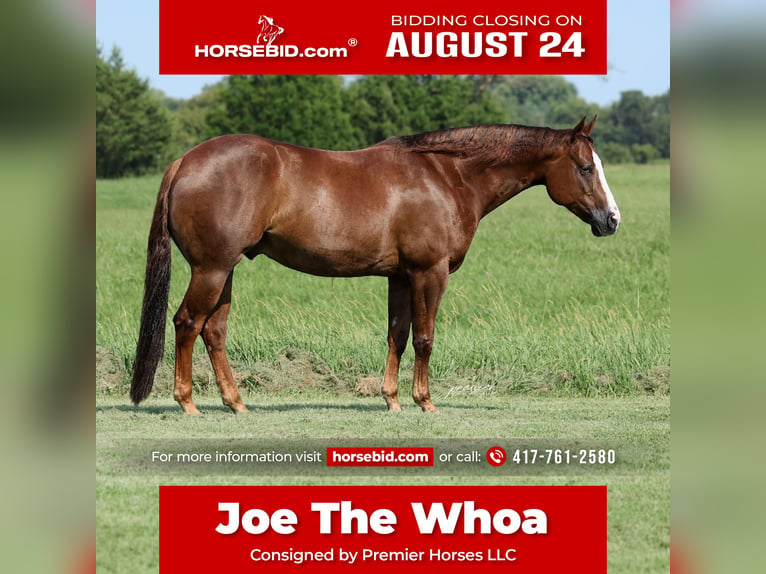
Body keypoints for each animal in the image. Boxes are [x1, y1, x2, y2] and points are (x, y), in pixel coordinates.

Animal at [130, 117, 620, 414]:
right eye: (584, 168)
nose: (611, 219)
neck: (446, 176)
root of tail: (184, 161)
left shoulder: (400, 277)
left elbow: (397, 336)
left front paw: (393, 400)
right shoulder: (429, 273)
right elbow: (424, 338)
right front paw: (425, 402)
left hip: (225, 271)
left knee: (214, 331)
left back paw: (236, 402)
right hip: (211, 270)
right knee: (187, 322)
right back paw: (188, 402)